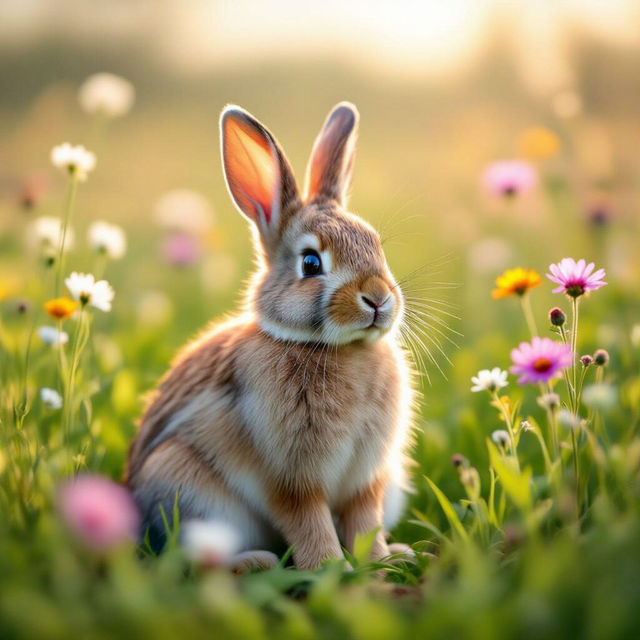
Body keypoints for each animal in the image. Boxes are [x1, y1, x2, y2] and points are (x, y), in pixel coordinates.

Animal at [126, 102, 414, 570]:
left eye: (376, 245)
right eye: (311, 263)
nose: (377, 298)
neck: (337, 348)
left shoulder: (367, 480)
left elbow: (364, 521)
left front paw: (381, 563)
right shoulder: (291, 478)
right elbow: (309, 523)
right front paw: (331, 569)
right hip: (187, 489)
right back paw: (255, 563)